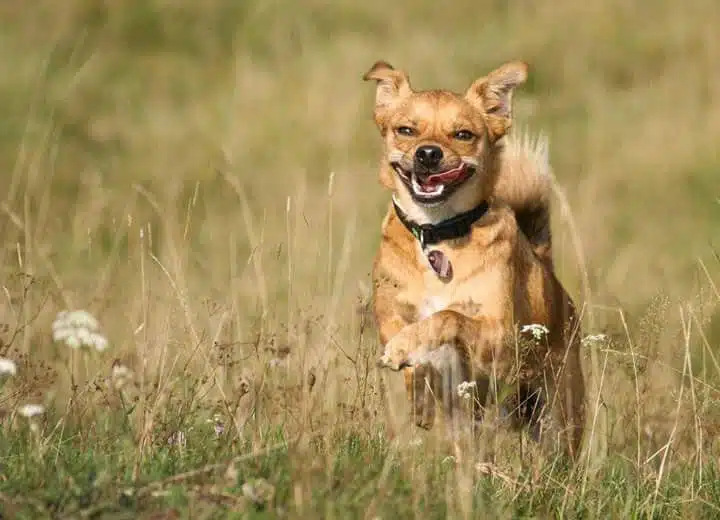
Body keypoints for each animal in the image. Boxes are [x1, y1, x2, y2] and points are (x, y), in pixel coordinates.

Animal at [366, 60, 584, 460]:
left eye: (463, 134)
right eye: (406, 130)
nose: (428, 153)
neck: (438, 234)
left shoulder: (500, 338)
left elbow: (448, 316)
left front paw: (409, 348)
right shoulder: (389, 318)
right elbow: (413, 346)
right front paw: (415, 383)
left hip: (558, 415)